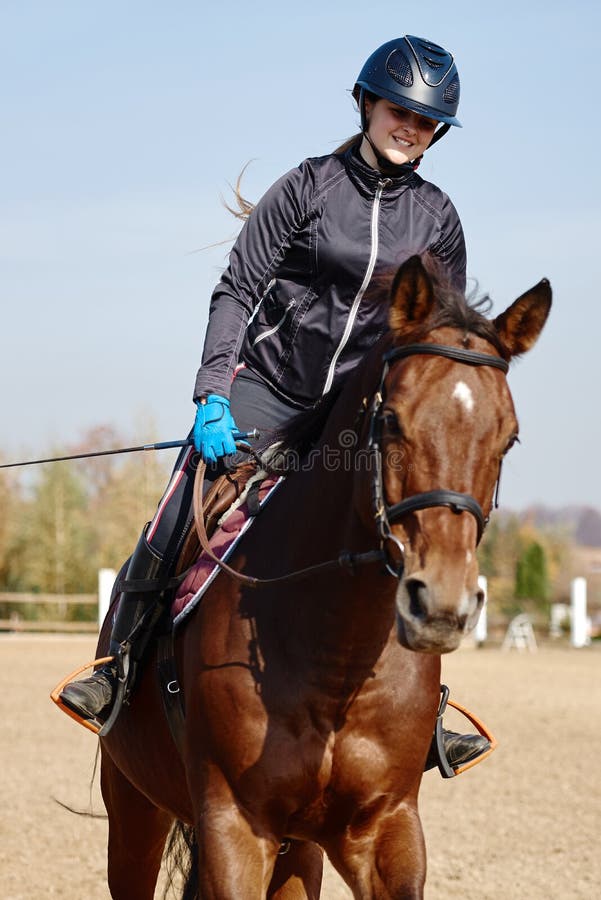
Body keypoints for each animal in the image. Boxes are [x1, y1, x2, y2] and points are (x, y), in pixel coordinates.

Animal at [96, 255, 552, 900]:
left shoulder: (385, 828)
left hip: (298, 851)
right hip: (135, 813)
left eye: (508, 438)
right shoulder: (234, 829)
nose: (440, 605)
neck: (335, 653)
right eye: (391, 420)